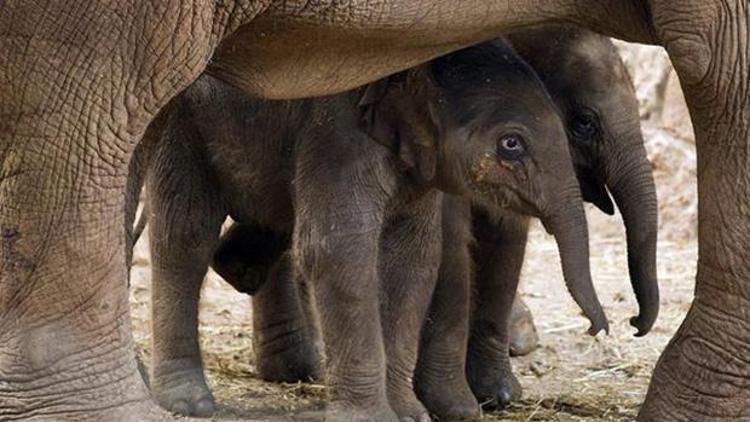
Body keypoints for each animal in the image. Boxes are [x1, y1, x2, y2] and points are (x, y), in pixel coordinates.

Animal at [0, 0, 748, 422]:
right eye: (584, 124)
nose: (621, 324)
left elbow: (430, 257)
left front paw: (459, 405)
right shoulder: (344, 139)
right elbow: (364, 251)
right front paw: (445, 408)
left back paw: (275, 329)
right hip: (187, 126)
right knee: (182, 234)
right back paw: (191, 400)